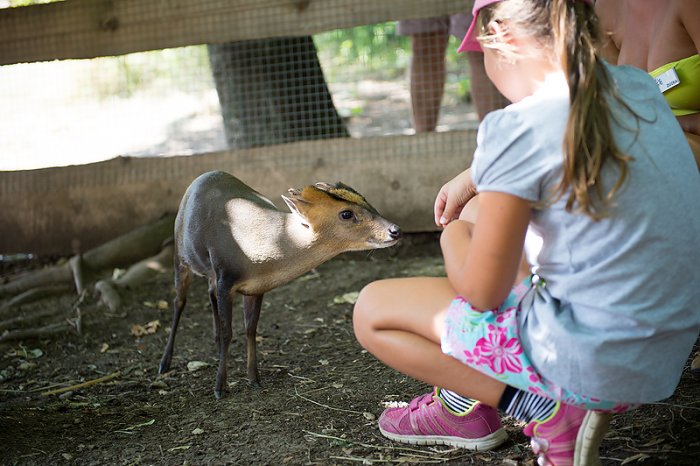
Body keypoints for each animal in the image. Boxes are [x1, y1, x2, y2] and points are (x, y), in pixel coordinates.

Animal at [159, 171, 400, 396]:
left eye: (365, 199)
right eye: (346, 214)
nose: (395, 230)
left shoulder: (255, 287)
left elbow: (251, 328)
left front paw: (254, 378)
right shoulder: (226, 278)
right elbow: (230, 332)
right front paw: (220, 387)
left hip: (211, 274)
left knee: (209, 294)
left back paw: (215, 342)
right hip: (180, 255)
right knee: (179, 301)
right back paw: (165, 362)